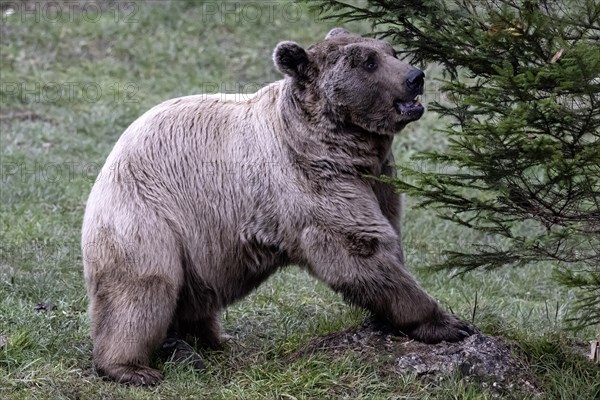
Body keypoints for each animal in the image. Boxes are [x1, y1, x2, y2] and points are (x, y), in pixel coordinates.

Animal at [81, 27, 474, 384]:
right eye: (368, 62)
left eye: (390, 50)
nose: (415, 76)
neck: (346, 148)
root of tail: (109, 162)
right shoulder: (311, 180)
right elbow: (359, 248)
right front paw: (448, 323)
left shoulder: (378, 180)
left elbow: (387, 236)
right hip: (149, 215)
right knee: (143, 288)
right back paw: (130, 367)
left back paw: (207, 340)